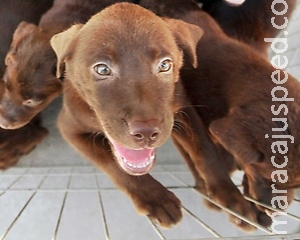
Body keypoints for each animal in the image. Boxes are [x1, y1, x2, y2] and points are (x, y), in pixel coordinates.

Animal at [50, 1, 203, 227]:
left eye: (165, 65)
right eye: (102, 69)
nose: (147, 133)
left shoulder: (182, 107)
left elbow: (206, 151)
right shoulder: (70, 128)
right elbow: (112, 164)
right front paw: (157, 199)